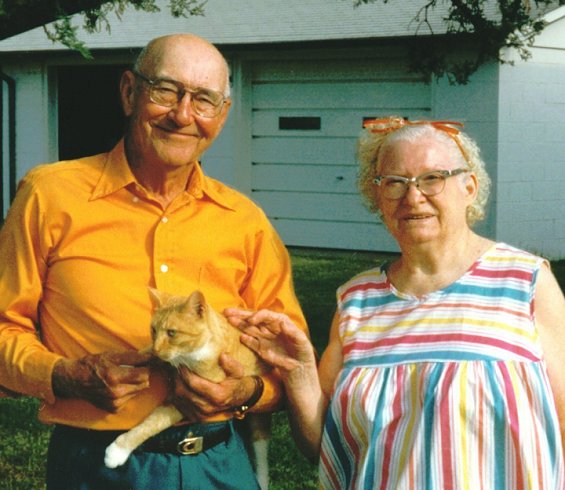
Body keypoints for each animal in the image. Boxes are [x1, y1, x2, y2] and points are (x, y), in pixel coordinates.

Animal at [106, 290, 274, 488]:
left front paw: (118, 450)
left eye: (172, 333)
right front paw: (123, 368)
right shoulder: (164, 358)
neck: (191, 355)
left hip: (259, 428)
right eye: (153, 330)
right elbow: (144, 355)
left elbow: (152, 424)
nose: (157, 348)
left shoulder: (186, 400)